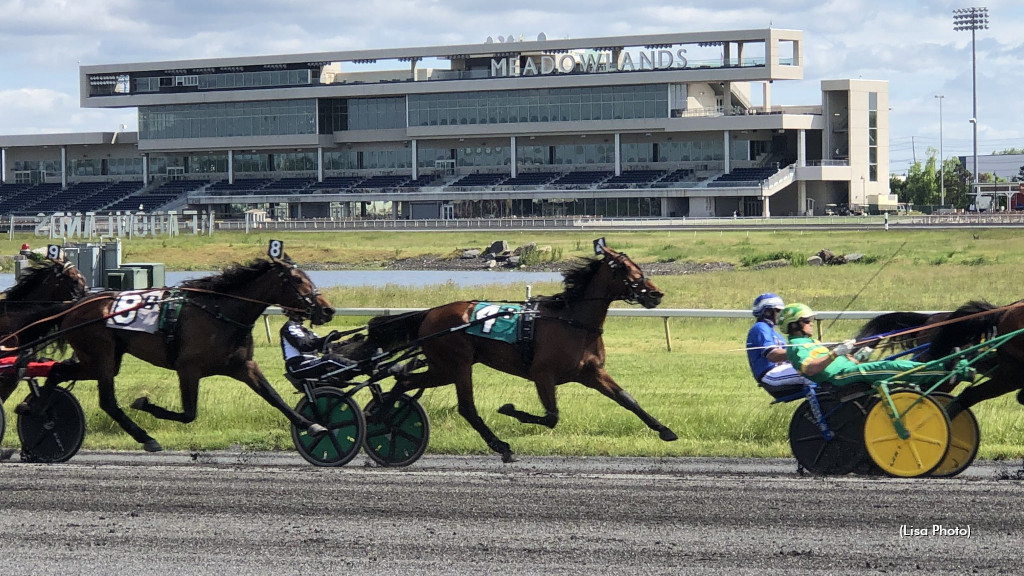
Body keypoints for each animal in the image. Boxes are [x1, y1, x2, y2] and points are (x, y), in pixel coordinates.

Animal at [34, 253, 331, 450]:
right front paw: (144, 403)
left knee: (58, 371)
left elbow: (274, 397)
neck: (221, 312)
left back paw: (34, 409)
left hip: (101, 359)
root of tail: (74, 306)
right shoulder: (188, 369)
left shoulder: (243, 366)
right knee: (107, 401)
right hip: (102, 353)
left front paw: (311, 424)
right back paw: (146, 438)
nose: (327, 310)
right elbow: (189, 414)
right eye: (297, 280)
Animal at [364, 237, 675, 461]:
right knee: (466, 407)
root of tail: (430, 313)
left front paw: (665, 430)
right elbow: (551, 417)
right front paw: (510, 409)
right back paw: (500, 445)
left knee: (405, 380)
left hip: (444, 368)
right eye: (623, 268)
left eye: (636, 264)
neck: (571, 320)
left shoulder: (592, 373)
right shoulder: (543, 374)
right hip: (455, 364)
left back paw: (382, 416)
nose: (656, 293)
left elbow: (627, 399)